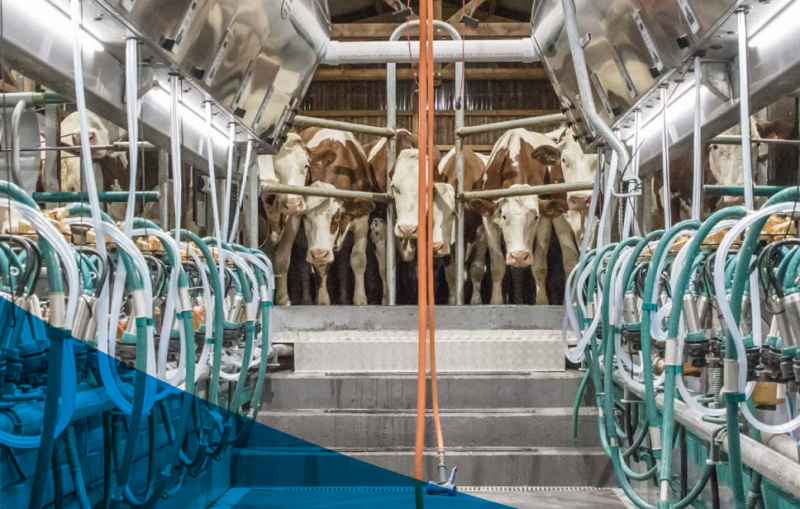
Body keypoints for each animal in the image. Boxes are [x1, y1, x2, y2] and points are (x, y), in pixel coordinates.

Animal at [300, 128, 376, 306]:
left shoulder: (362, 220)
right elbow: (321, 265)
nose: (319, 253)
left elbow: (358, 259)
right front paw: (322, 300)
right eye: (306, 216)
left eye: (336, 216)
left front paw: (360, 299)